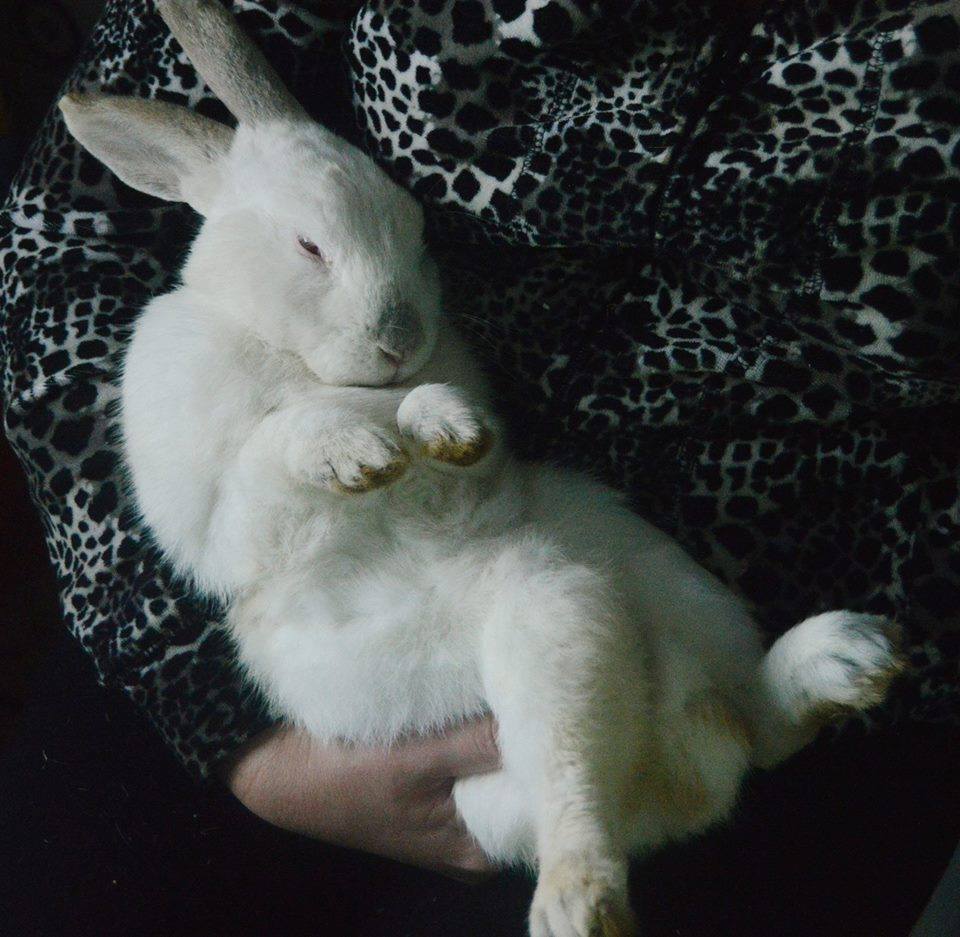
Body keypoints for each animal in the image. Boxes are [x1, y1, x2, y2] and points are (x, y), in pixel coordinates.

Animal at [59, 2, 904, 934]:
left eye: (417, 230)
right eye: (310, 246)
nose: (399, 335)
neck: (304, 359)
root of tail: (689, 745)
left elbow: (445, 435)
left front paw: (437, 424)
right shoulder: (220, 517)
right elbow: (274, 449)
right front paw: (360, 451)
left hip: (635, 594)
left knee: (713, 741)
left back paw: (837, 667)